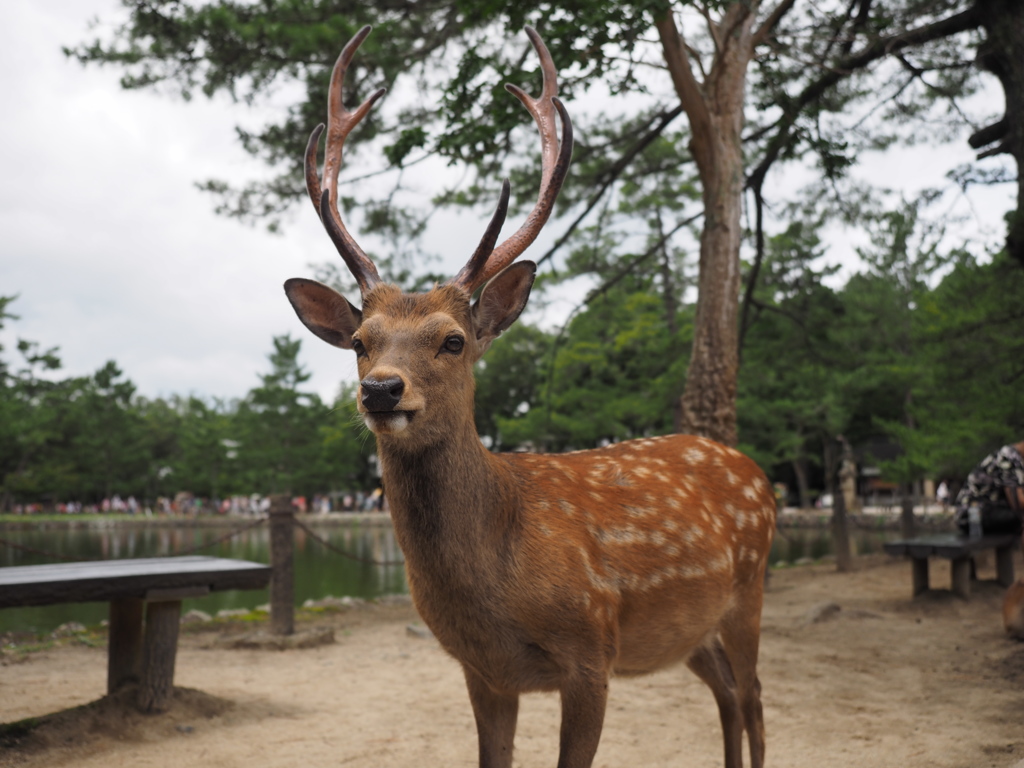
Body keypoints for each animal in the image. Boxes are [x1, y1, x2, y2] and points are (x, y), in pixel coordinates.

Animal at [282, 24, 774, 768]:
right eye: (361, 341)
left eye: (453, 340)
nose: (381, 389)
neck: (496, 582)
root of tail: (758, 474)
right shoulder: (482, 670)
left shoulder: (593, 651)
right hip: (688, 630)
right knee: (725, 692)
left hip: (749, 590)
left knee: (753, 698)